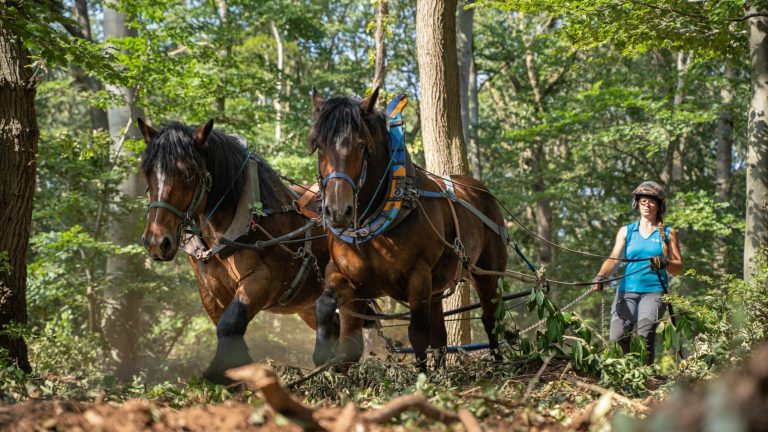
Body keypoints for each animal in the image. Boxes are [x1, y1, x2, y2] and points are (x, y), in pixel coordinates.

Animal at [138, 119, 330, 384]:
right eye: (147, 173)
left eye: (187, 173)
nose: (157, 242)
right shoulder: (209, 289)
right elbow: (224, 323)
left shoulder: (264, 279)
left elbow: (229, 324)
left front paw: (224, 371)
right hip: (308, 304)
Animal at [306, 88, 510, 372]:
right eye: (319, 145)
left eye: (361, 145)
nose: (337, 211)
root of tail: (481, 191)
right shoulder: (344, 274)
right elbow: (327, 310)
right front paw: (324, 360)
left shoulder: (418, 276)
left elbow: (418, 334)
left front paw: (422, 377)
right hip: (437, 287)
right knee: (441, 334)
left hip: (486, 273)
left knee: (491, 318)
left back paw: (497, 364)